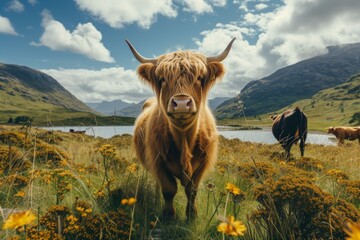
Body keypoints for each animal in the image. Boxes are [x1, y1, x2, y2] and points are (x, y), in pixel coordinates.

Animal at [126, 38, 236, 219]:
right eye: (162, 79)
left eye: (199, 78)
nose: (182, 103)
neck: (184, 139)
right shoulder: (158, 162)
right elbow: (169, 189)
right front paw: (169, 215)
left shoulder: (203, 163)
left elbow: (192, 190)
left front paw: (192, 214)